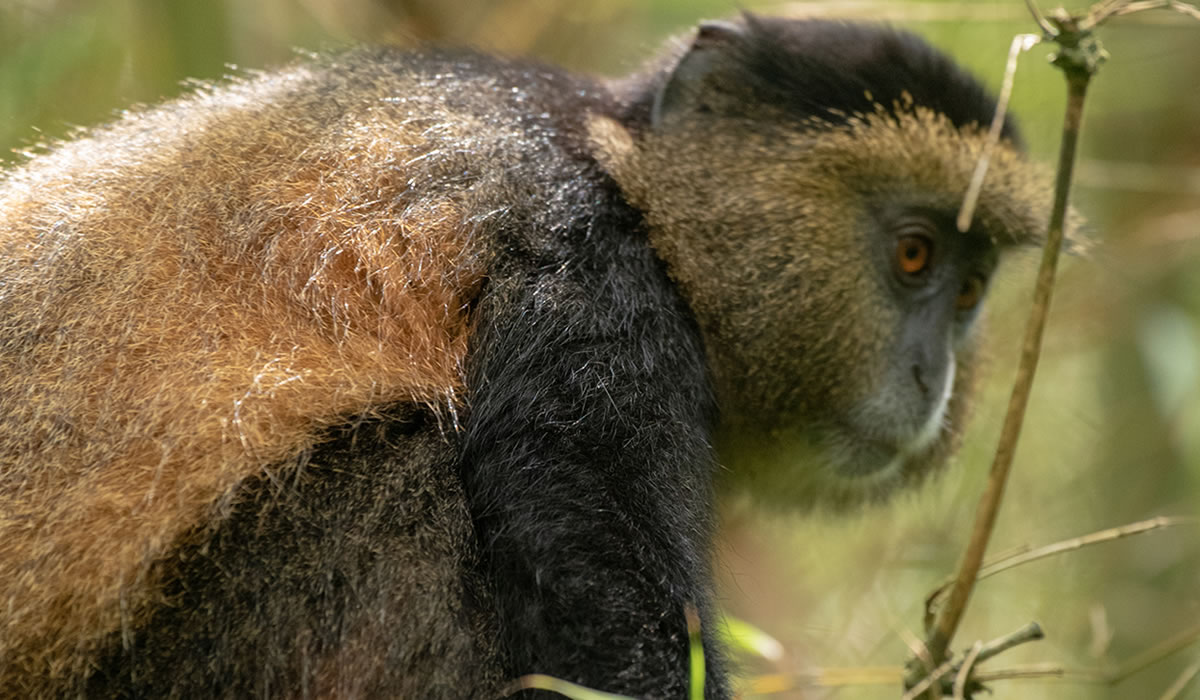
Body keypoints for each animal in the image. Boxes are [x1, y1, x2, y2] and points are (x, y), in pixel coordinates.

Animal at [0, 13, 1056, 699]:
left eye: (968, 292)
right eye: (913, 256)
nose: (931, 378)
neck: (622, 168)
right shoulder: (585, 272)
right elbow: (596, 585)